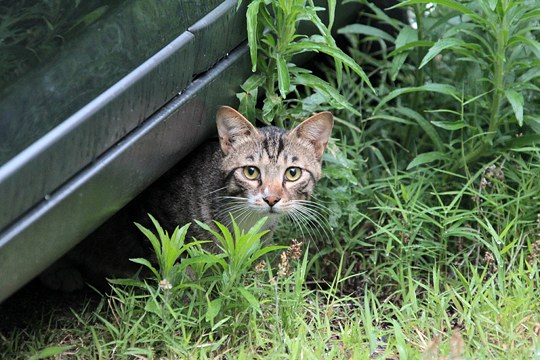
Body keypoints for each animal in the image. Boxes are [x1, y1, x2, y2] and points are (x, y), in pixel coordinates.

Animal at [40, 105, 332, 292]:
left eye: (292, 173)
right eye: (251, 171)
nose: (271, 199)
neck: (244, 222)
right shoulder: (152, 215)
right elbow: (174, 269)